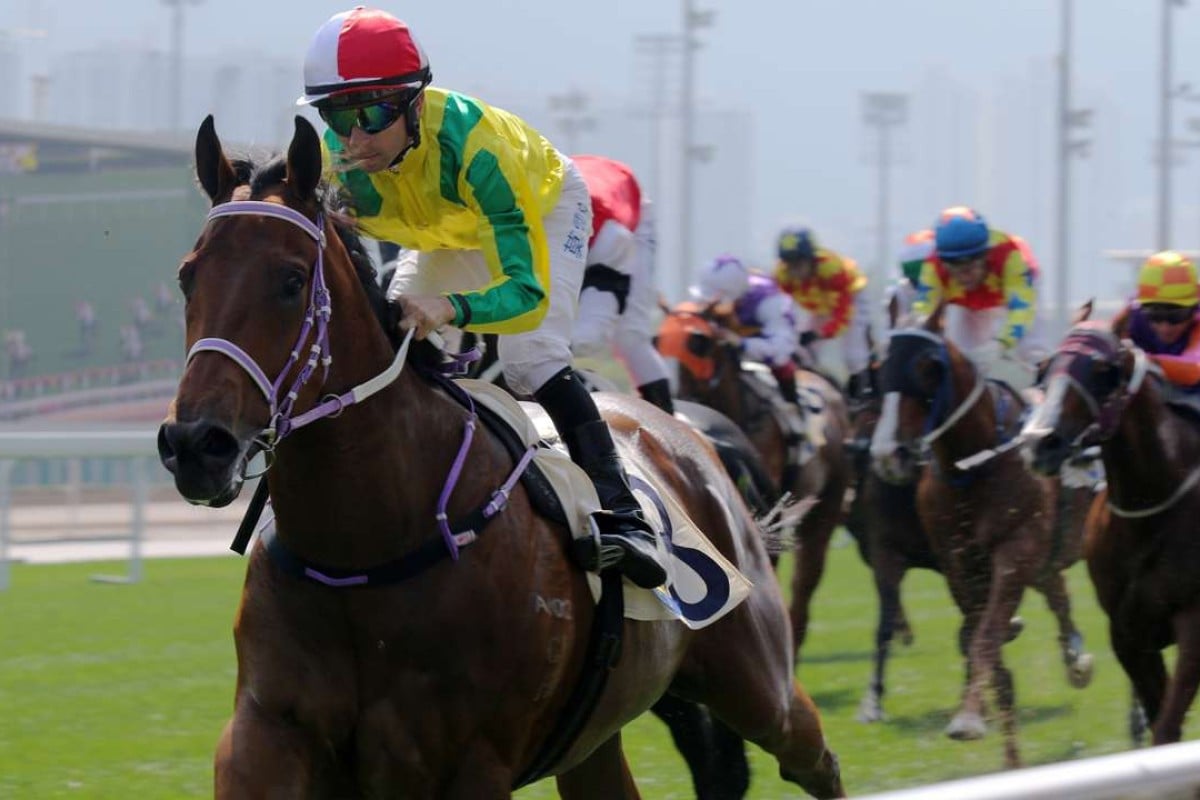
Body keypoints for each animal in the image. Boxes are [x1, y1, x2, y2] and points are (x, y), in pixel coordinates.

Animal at [1017, 321, 1200, 748]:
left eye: (1103, 370)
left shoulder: (1194, 624)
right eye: (1044, 369)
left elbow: (1167, 726)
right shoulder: (1127, 634)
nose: (1038, 442)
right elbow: (1162, 725)